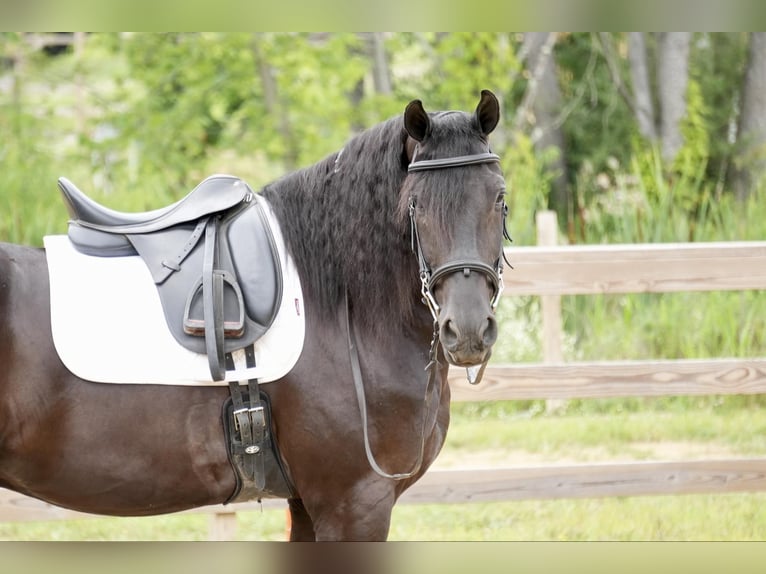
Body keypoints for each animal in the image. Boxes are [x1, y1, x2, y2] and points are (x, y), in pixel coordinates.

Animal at [0, 89, 510, 540]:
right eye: (415, 205)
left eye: (500, 199)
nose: (466, 330)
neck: (344, 311)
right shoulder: (353, 503)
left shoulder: (308, 504)